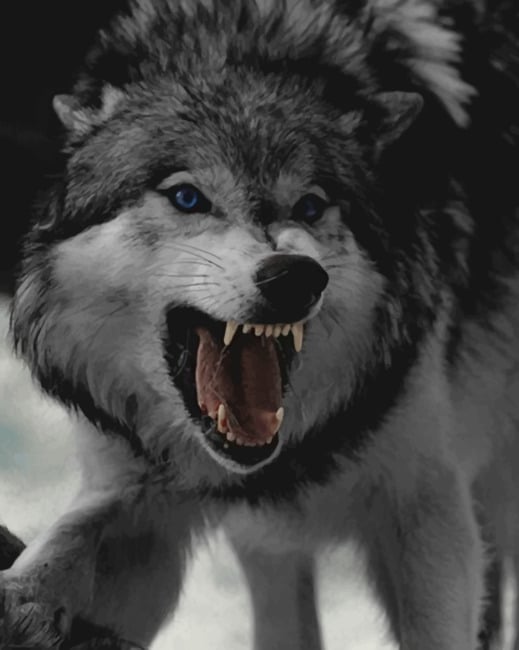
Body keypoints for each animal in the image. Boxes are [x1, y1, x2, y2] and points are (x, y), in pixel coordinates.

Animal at [2, 0, 519, 648]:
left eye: (311, 206)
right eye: (188, 198)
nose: (296, 276)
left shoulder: (425, 505)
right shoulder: (138, 494)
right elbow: (67, 539)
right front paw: (20, 596)